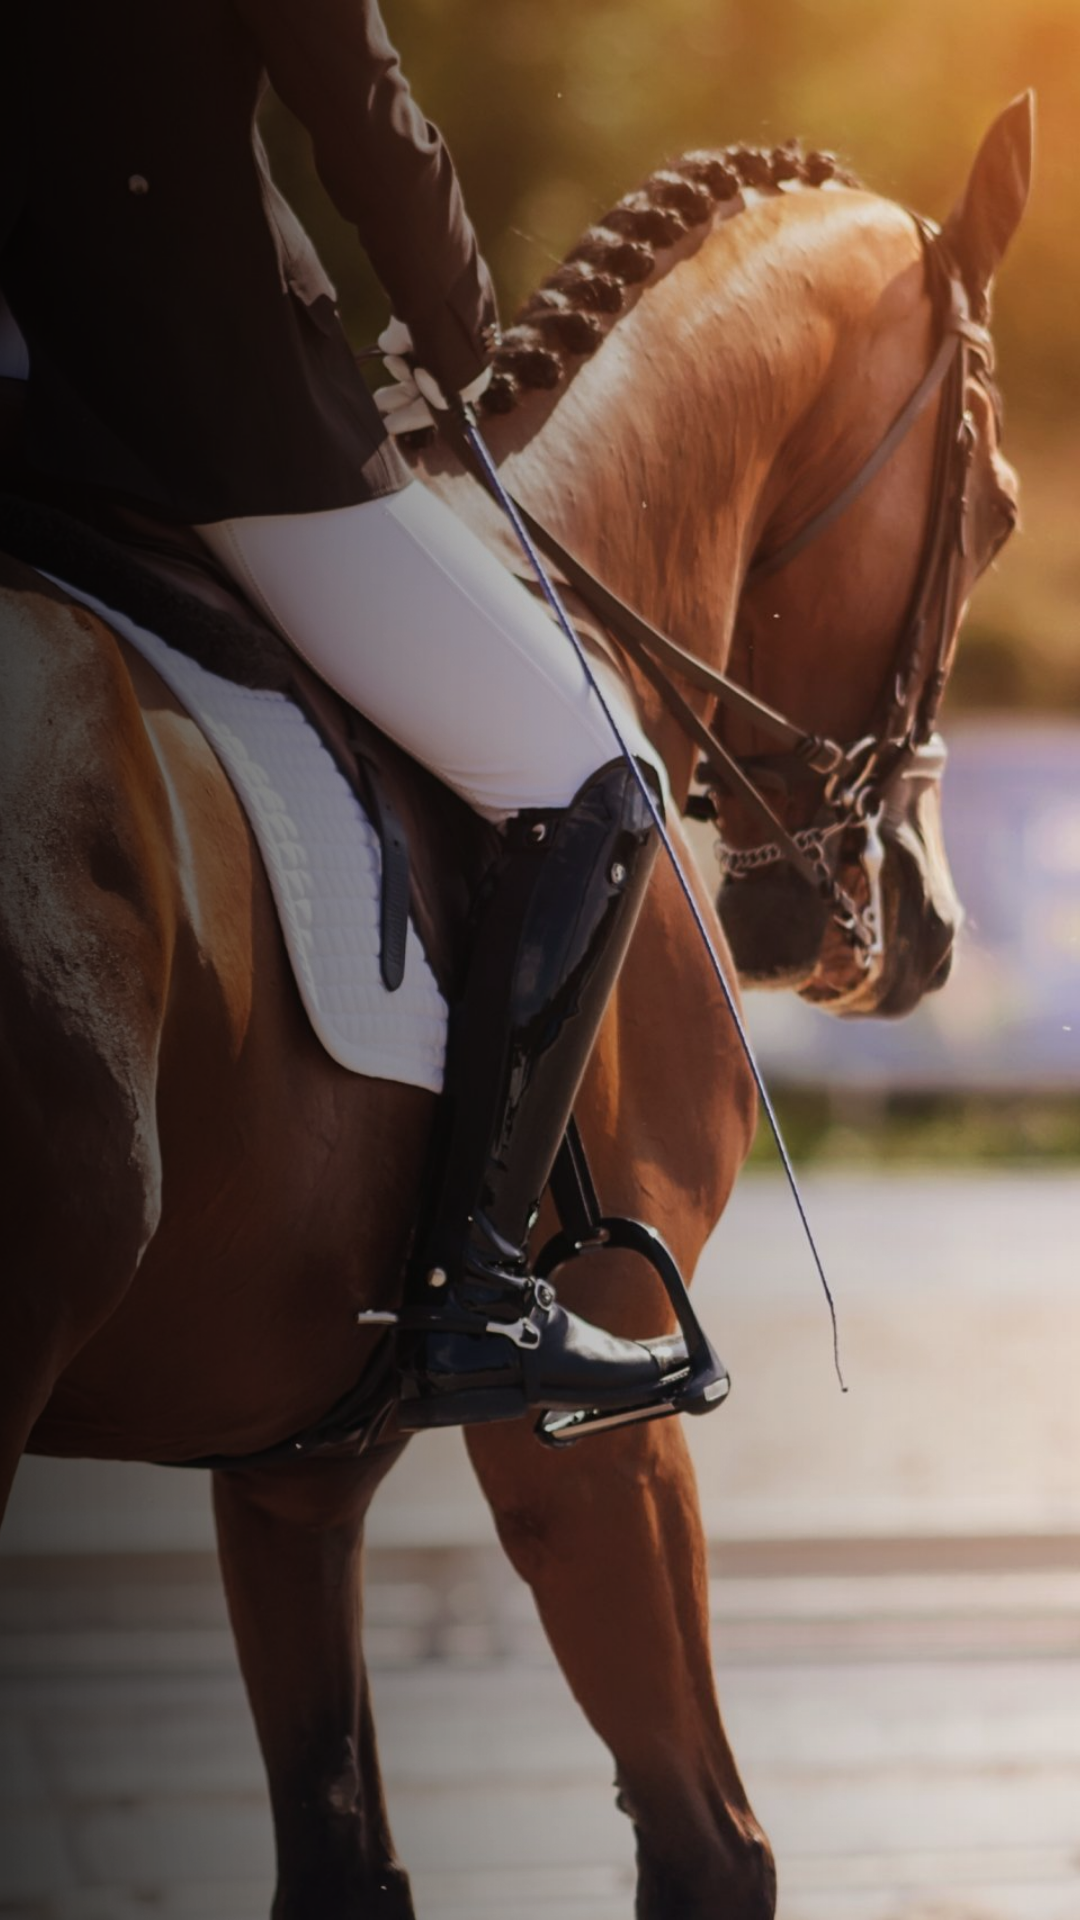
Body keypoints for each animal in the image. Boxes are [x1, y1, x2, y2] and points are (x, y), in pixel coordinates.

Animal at [0, 94, 1030, 1919]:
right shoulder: (595, 1426)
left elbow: (344, 1855)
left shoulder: (297, 1469)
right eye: (993, 512)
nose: (918, 930)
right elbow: (713, 1848)